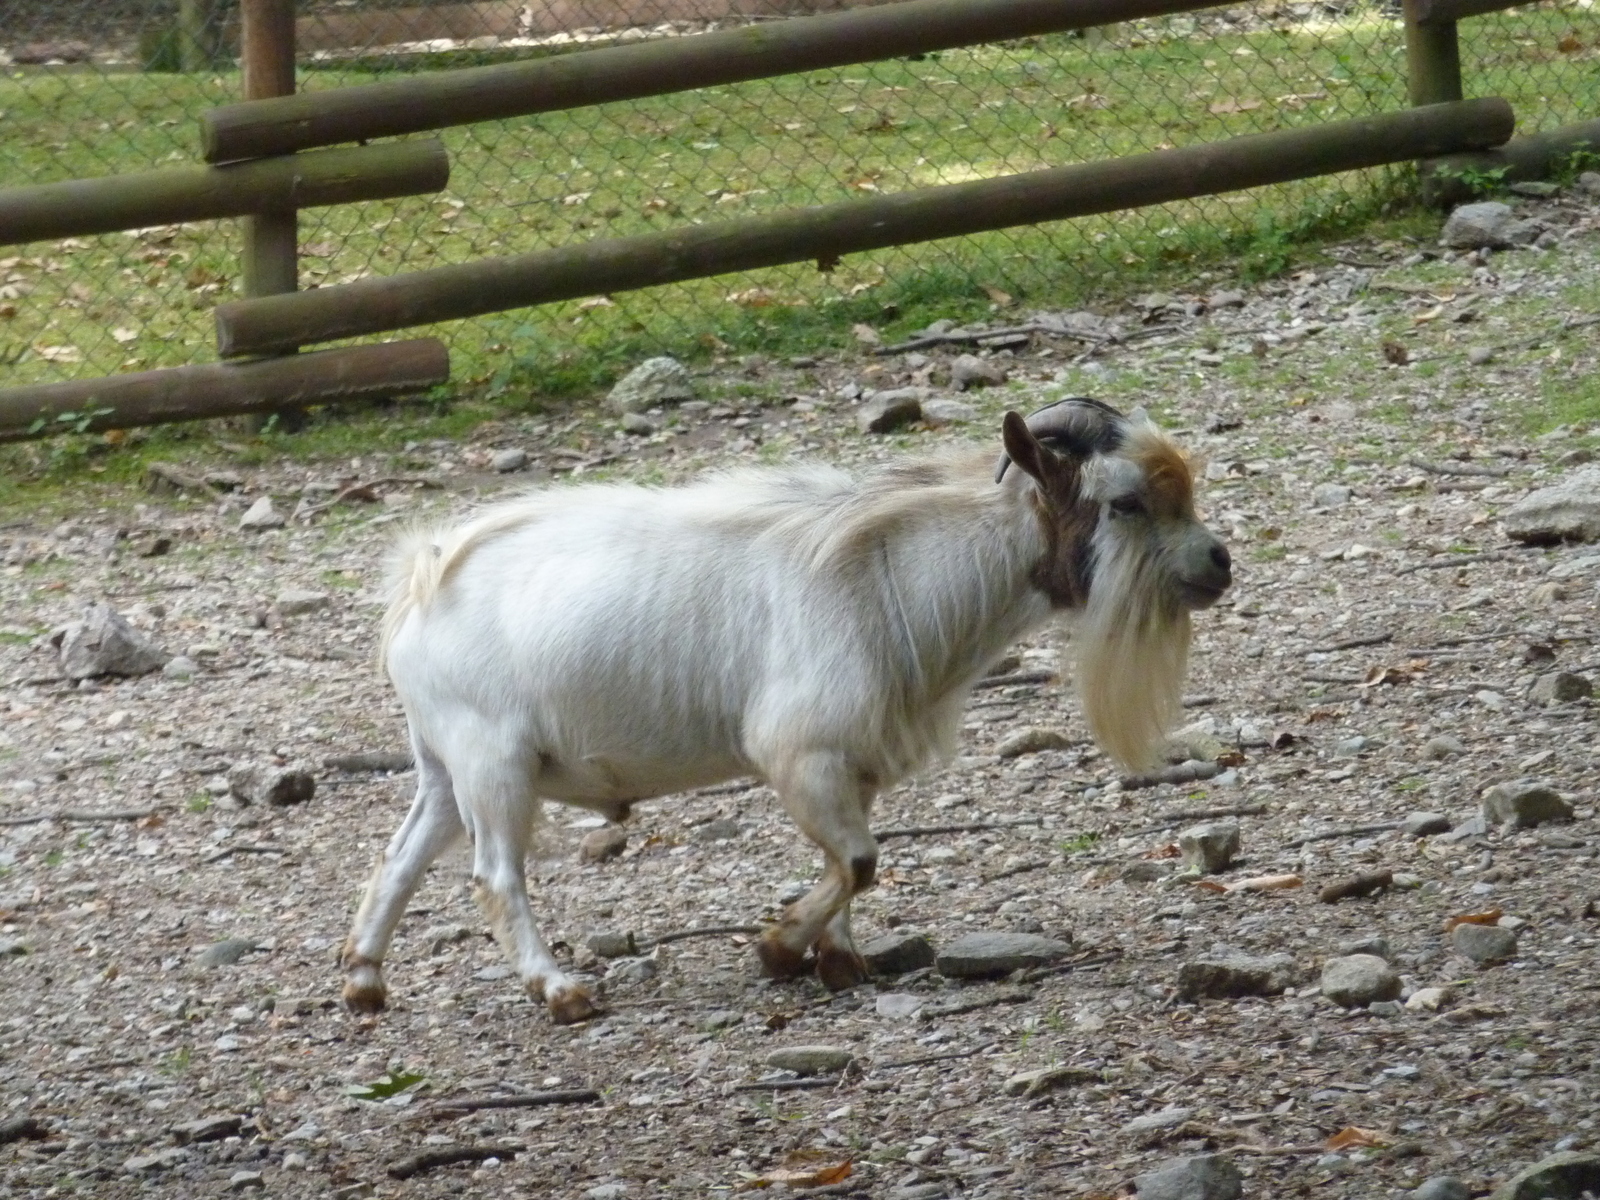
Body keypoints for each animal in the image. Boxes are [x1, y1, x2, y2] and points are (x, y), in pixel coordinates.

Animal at [344, 401, 1228, 1024]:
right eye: (1124, 502)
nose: (1219, 562)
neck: (887, 571)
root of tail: (419, 584)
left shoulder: (853, 764)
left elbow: (853, 859)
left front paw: (838, 961)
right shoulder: (800, 753)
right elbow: (860, 860)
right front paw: (778, 948)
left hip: (443, 765)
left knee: (401, 855)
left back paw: (363, 982)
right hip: (493, 761)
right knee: (495, 874)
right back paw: (560, 991)